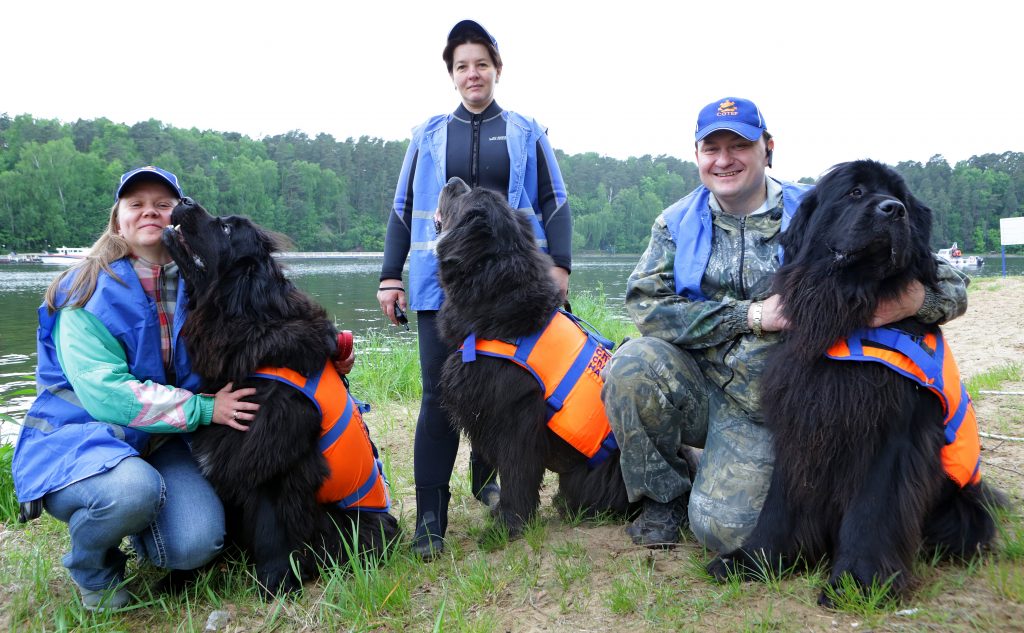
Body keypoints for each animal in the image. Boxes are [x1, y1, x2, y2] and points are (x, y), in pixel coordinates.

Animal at [161, 199, 397, 594]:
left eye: (226, 229)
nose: (185, 201)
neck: (251, 322)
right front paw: (184, 577)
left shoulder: (271, 458)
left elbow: (271, 530)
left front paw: (272, 583)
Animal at [708, 157, 1003, 602]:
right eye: (855, 192)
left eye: (899, 196)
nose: (894, 210)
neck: (846, 309)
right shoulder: (802, 422)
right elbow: (780, 501)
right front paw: (755, 559)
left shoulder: (891, 435)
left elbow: (873, 509)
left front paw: (859, 582)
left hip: (962, 507)